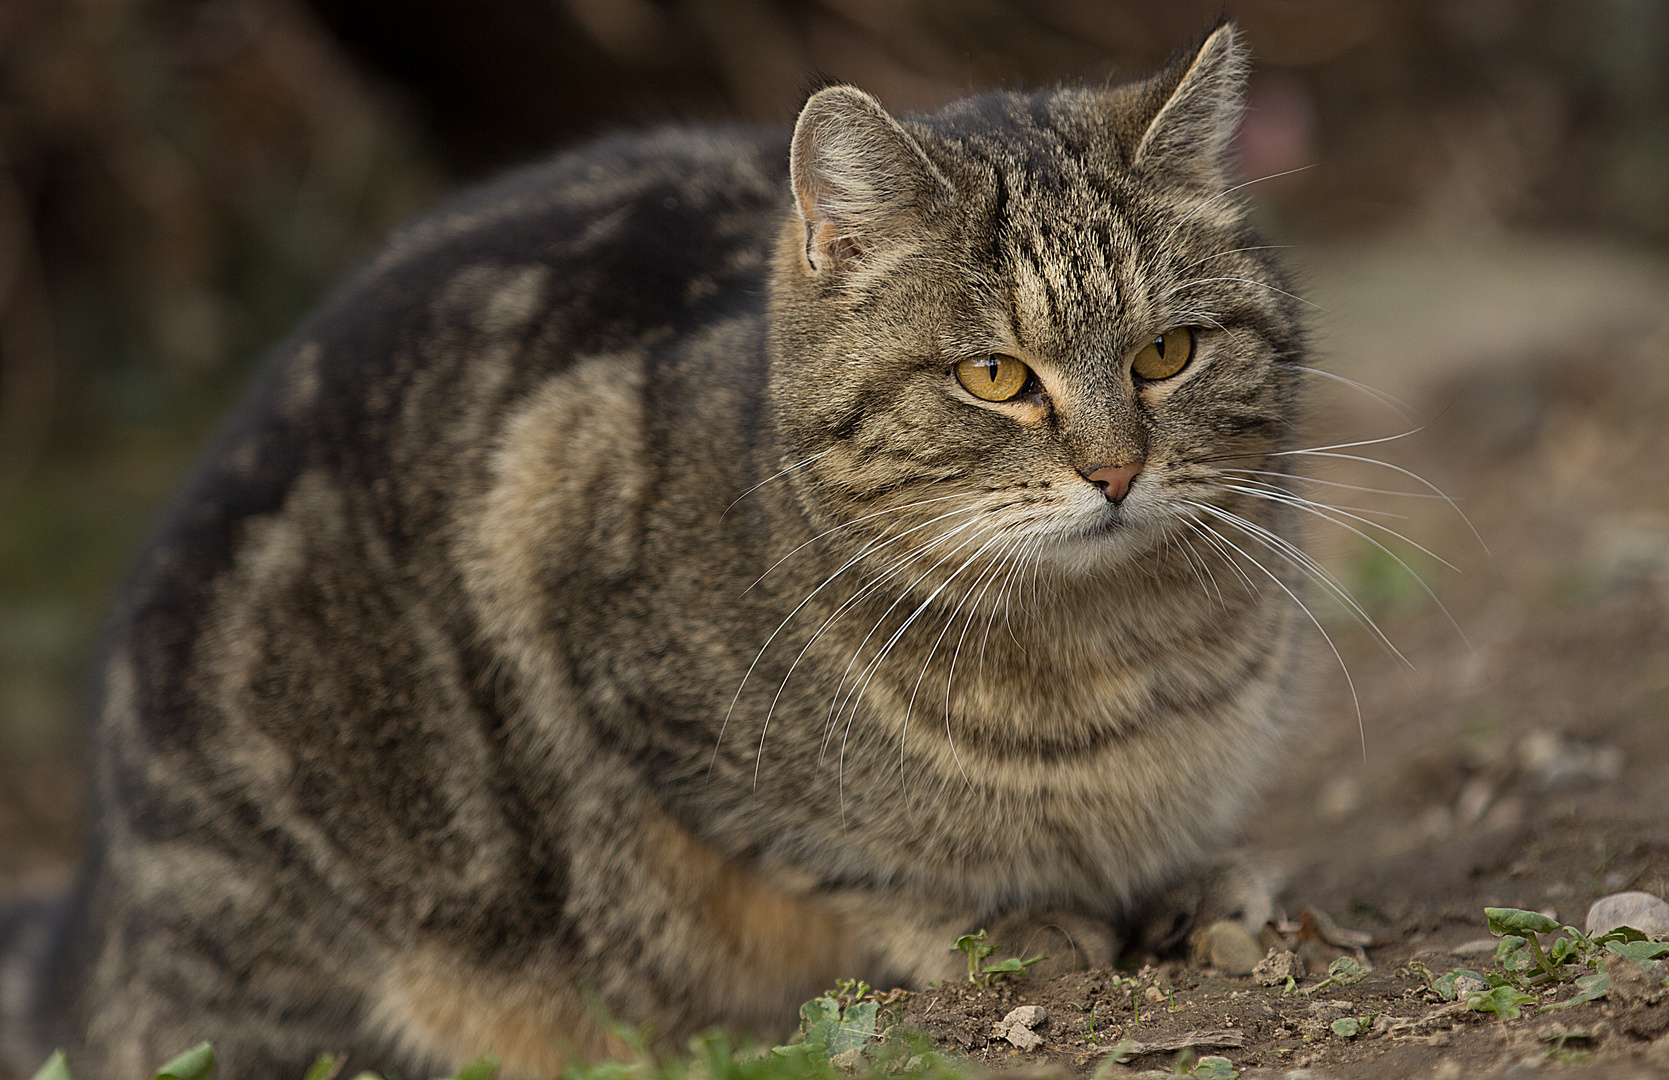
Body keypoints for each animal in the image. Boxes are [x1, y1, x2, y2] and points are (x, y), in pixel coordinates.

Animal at [0, 23, 1308, 1080]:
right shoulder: (585, 584)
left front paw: (1194, 881)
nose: (1116, 472)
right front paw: (1003, 920)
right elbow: (844, 859)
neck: (1111, 651)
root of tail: (91, 921)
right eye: (993, 375)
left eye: (1166, 354)